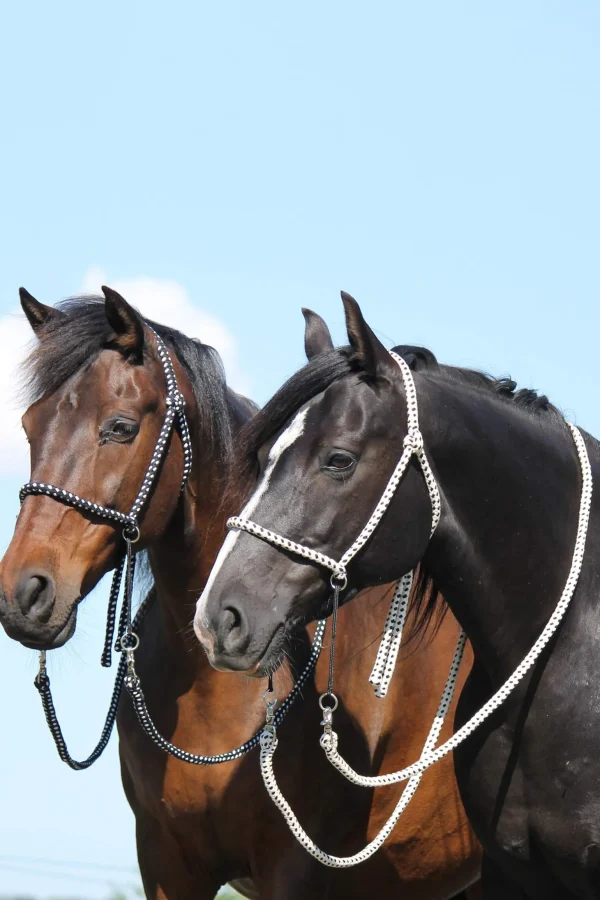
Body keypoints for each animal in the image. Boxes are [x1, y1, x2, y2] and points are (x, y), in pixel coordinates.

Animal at [0, 292, 478, 896]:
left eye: (120, 427)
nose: (23, 592)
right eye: (28, 426)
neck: (221, 694)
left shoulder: (293, 868)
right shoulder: (165, 862)